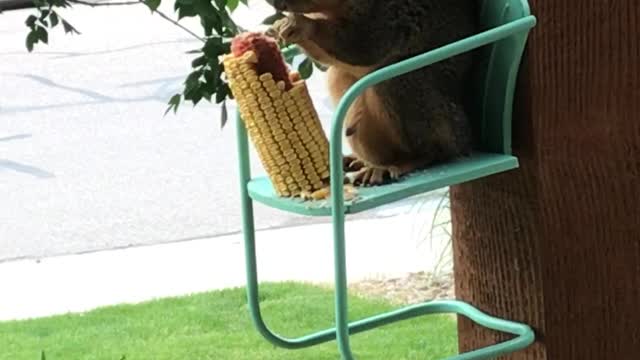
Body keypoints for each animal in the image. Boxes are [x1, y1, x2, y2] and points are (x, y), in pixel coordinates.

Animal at [268, 0, 478, 186]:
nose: (273, 3)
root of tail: (464, 139)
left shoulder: (390, 16)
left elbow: (361, 44)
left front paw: (301, 24)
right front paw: (278, 28)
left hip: (407, 88)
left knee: (436, 150)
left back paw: (402, 163)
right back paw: (362, 162)